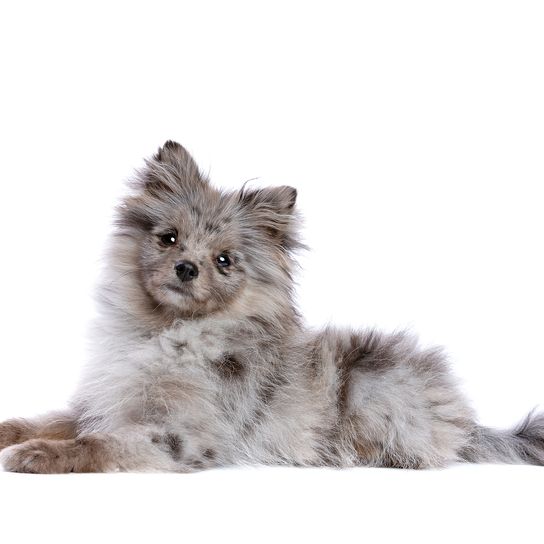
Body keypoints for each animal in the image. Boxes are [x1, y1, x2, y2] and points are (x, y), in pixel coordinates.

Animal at [1, 141, 544, 472]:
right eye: (168, 238)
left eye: (224, 261)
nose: (186, 268)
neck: (166, 333)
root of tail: (467, 423)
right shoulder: (106, 402)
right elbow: (50, 420)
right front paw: (13, 431)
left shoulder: (178, 434)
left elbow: (96, 444)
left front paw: (39, 455)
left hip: (370, 385)